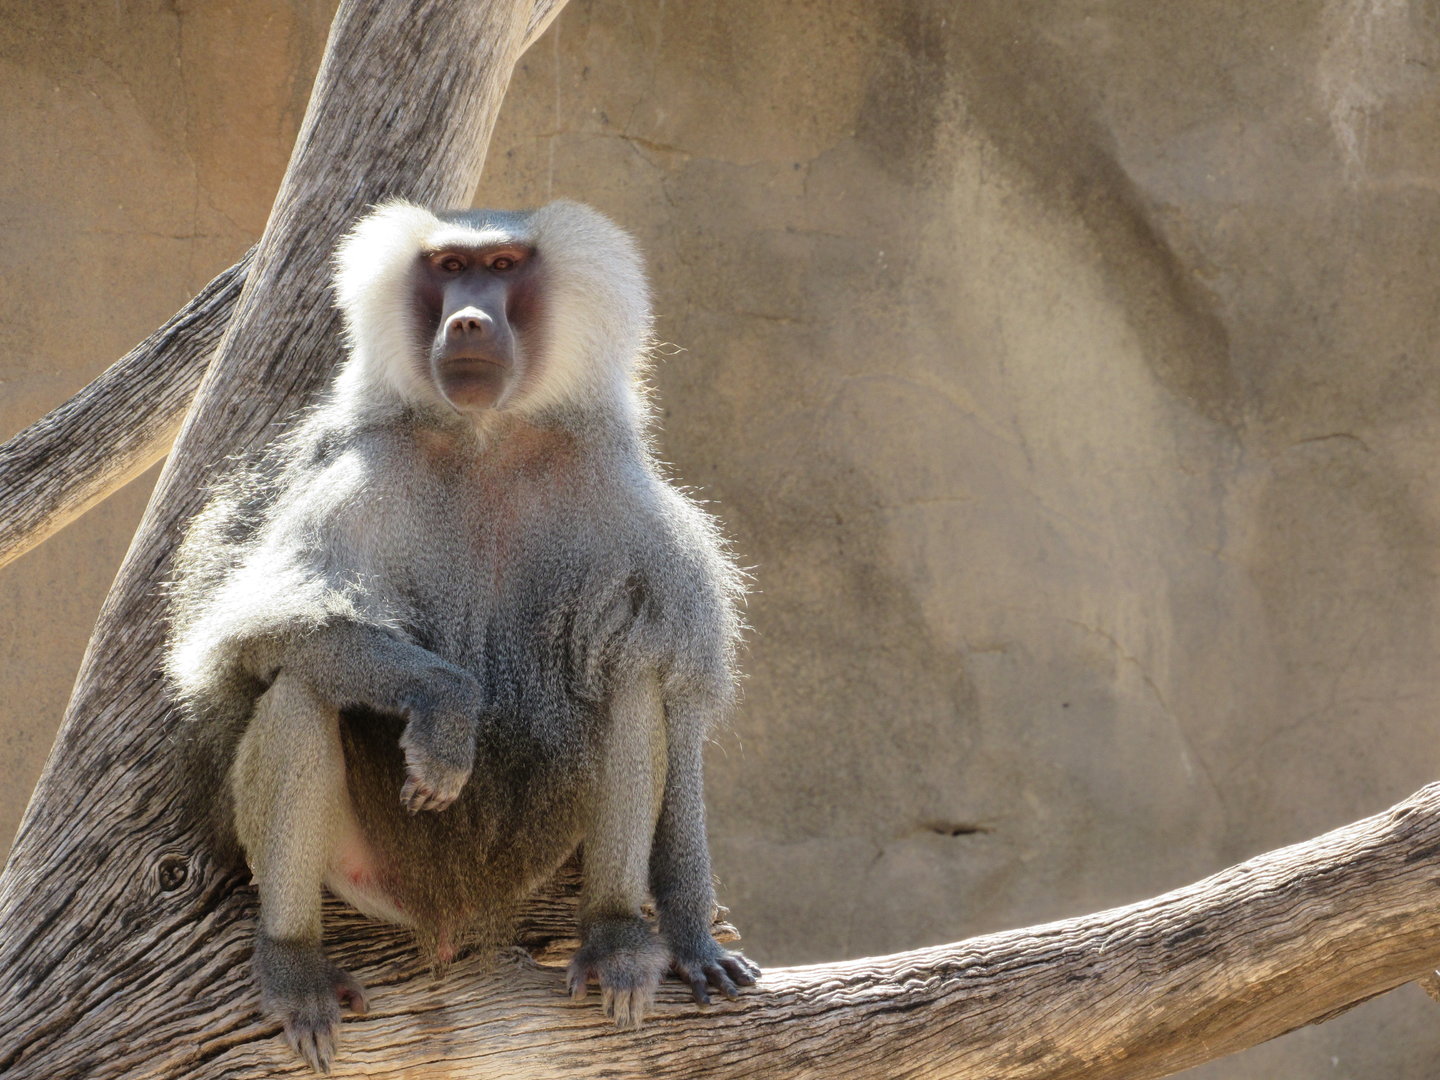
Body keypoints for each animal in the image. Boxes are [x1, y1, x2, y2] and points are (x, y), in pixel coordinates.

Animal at [165, 199, 759, 1072]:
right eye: (449, 268)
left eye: (504, 267)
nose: (469, 321)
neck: (490, 438)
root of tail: (451, 919)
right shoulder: (366, 473)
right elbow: (263, 630)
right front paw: (447, 715)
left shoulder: (625, 499)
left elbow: (671, 690)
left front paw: (691, 936)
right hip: (366, 874)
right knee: (303, 687)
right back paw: (292, 963)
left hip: (536, 855)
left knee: (628, 681)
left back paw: (616, 938)